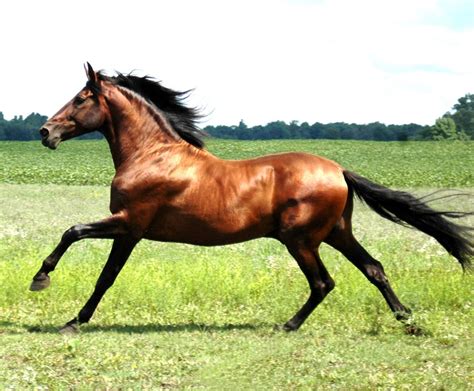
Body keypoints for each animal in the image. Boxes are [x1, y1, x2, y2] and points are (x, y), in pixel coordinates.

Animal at [31, 63, 472, 334]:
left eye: (81, 98)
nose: (45, 132)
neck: (152, 155)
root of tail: (339, 171)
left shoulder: (129, 224)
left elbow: (81, 244)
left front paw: (48, 288)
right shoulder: (129, 230)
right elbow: (102, 270)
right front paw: (72, 314)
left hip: (301, 239)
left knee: (323, 282)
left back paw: (288, 325)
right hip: (336, 233)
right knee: (374, 269)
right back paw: (406, 319)